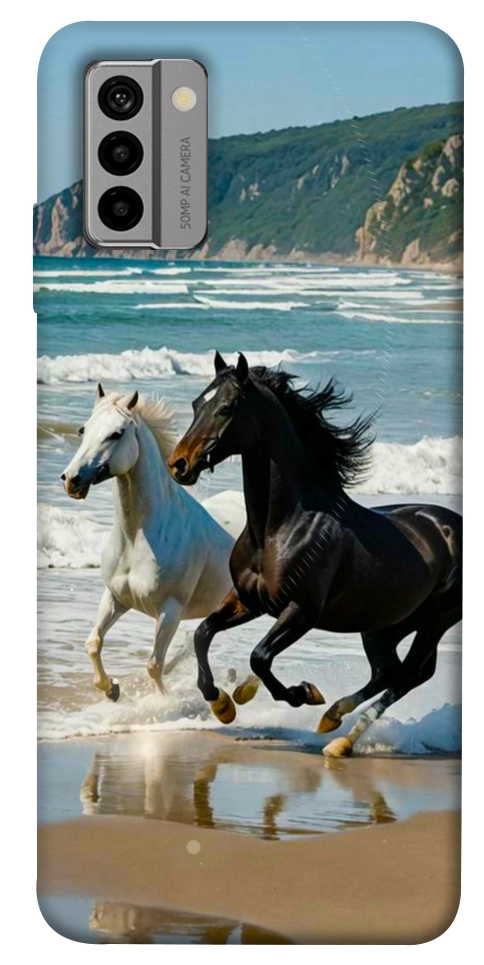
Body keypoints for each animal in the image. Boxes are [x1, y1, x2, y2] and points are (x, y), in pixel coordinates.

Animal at [61, 383, 234, 701]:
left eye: (116, 433)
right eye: (83, 430)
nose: (71, 480)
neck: (137, 538)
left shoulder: (170, 611)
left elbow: (154, 665)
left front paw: (162, 703)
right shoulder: (116, 597)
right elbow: (93, 643)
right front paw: (111, 689)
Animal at [167, 352, 462, 756]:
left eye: (226, 407)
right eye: (198, 403)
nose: (178, 464)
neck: (279, 528)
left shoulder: (301, 611)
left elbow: (260, 657)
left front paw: (302, 693)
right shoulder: (249, 601)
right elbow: (203, 633)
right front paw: (223, 703)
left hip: (435, 621)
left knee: (408, 675)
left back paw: (340, 738)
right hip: (384, 624)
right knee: (388, 671)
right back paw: (333, 720)